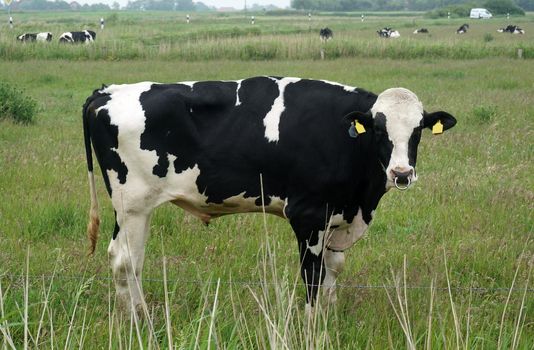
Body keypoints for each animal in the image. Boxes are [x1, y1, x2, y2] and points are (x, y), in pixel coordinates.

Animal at [81, 75, 458, 314]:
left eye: (418, 130)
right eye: (379, 129)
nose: (402, 173)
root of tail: (107, 92)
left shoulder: (336, 217)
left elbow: (333, 271)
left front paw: (330, 319)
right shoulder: (308, 216)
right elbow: (312, 276)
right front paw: (311, 326)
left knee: (131, 261)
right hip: (132, 206)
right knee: (124, 260)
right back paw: (138, 319)